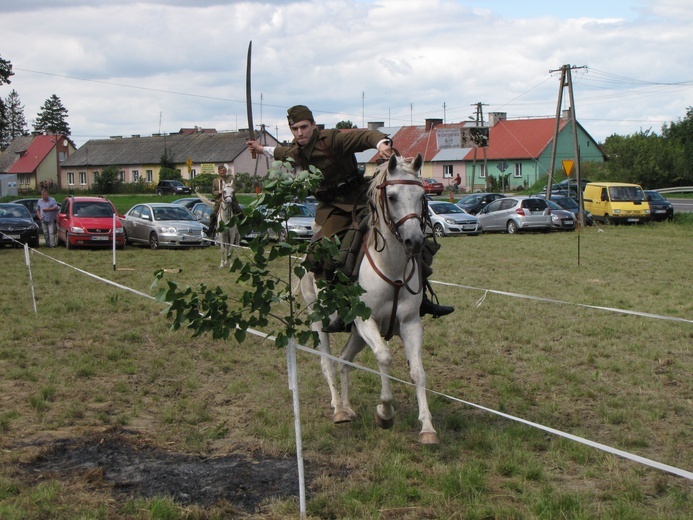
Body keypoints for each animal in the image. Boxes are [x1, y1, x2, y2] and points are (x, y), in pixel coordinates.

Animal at [298, 152, 436, 444]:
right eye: (392, 197)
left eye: (422, 195)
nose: (415, 242)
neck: (391, 269)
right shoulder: (365, 321)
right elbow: (384, 357)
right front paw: (385, 413)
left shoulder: (410, 324)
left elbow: (418, 372)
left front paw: (427, 427)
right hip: (319, 321)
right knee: (328, 362)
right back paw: (339, 409)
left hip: (357, 334)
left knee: (344, 360)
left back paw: (348, 407)